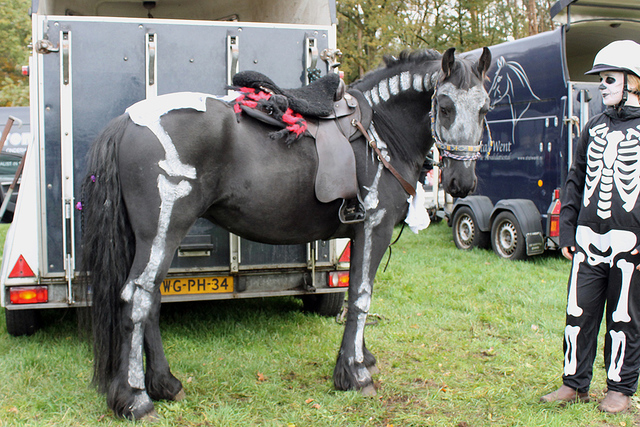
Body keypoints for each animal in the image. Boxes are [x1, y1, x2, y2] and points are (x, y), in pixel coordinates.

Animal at [82, 45, 492, 420]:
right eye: (444, 106)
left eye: (485, 109)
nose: (462, 182)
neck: (382, 131)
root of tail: (127, 119)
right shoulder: (373, 228)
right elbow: (361, 296)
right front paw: (354, 374)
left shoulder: (358, 235)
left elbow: (359, 295)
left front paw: (363, 358)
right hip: (163, 231)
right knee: (136, 299)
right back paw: (137, 400)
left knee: (150, 301)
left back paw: (165, 384)